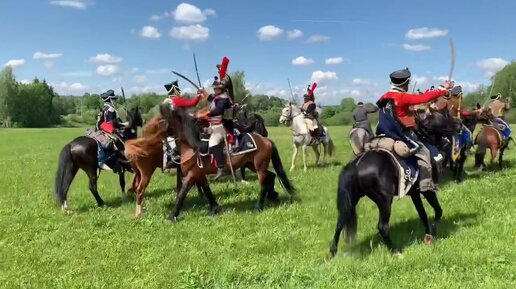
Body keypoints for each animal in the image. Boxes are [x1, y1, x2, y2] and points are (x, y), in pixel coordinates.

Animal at [161, 103, 298, 220]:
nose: (162, 138)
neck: (192, 145)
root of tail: (266, 140)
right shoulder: (199, 174)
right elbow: (206, 189)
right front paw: (214, 209)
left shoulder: (192, 174)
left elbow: (182, 193)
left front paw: (172, 215)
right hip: (253, 165)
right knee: (271, 175)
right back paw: (272, 195)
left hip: (259, 167)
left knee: (264, 183)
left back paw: (259, 206)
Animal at [328, 107, 462, 255]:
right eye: (443, 115)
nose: (460, 124)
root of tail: (355, 166)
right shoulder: (427, 190)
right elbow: (438, 211)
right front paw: (432, 233)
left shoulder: (414, 193)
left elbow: (423, 214)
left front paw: (428, 235)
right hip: (384, 201)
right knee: (382, 226)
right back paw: (395, 251)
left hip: (352, 199)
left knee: (340, 222)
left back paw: (332, 252)